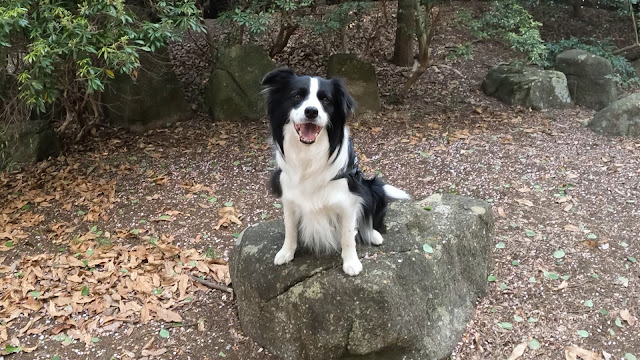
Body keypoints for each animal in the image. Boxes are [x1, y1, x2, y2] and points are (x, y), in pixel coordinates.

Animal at [262, 68, 408, 276]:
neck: (308, 156)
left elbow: (348, 235)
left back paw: (373, 235)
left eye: (326, 100)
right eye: (297, 96)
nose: (311, 111)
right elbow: (290, 228)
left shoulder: (348, 199)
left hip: (372, 188)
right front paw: (286, 252)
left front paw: (351, 263)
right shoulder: (288, 197)